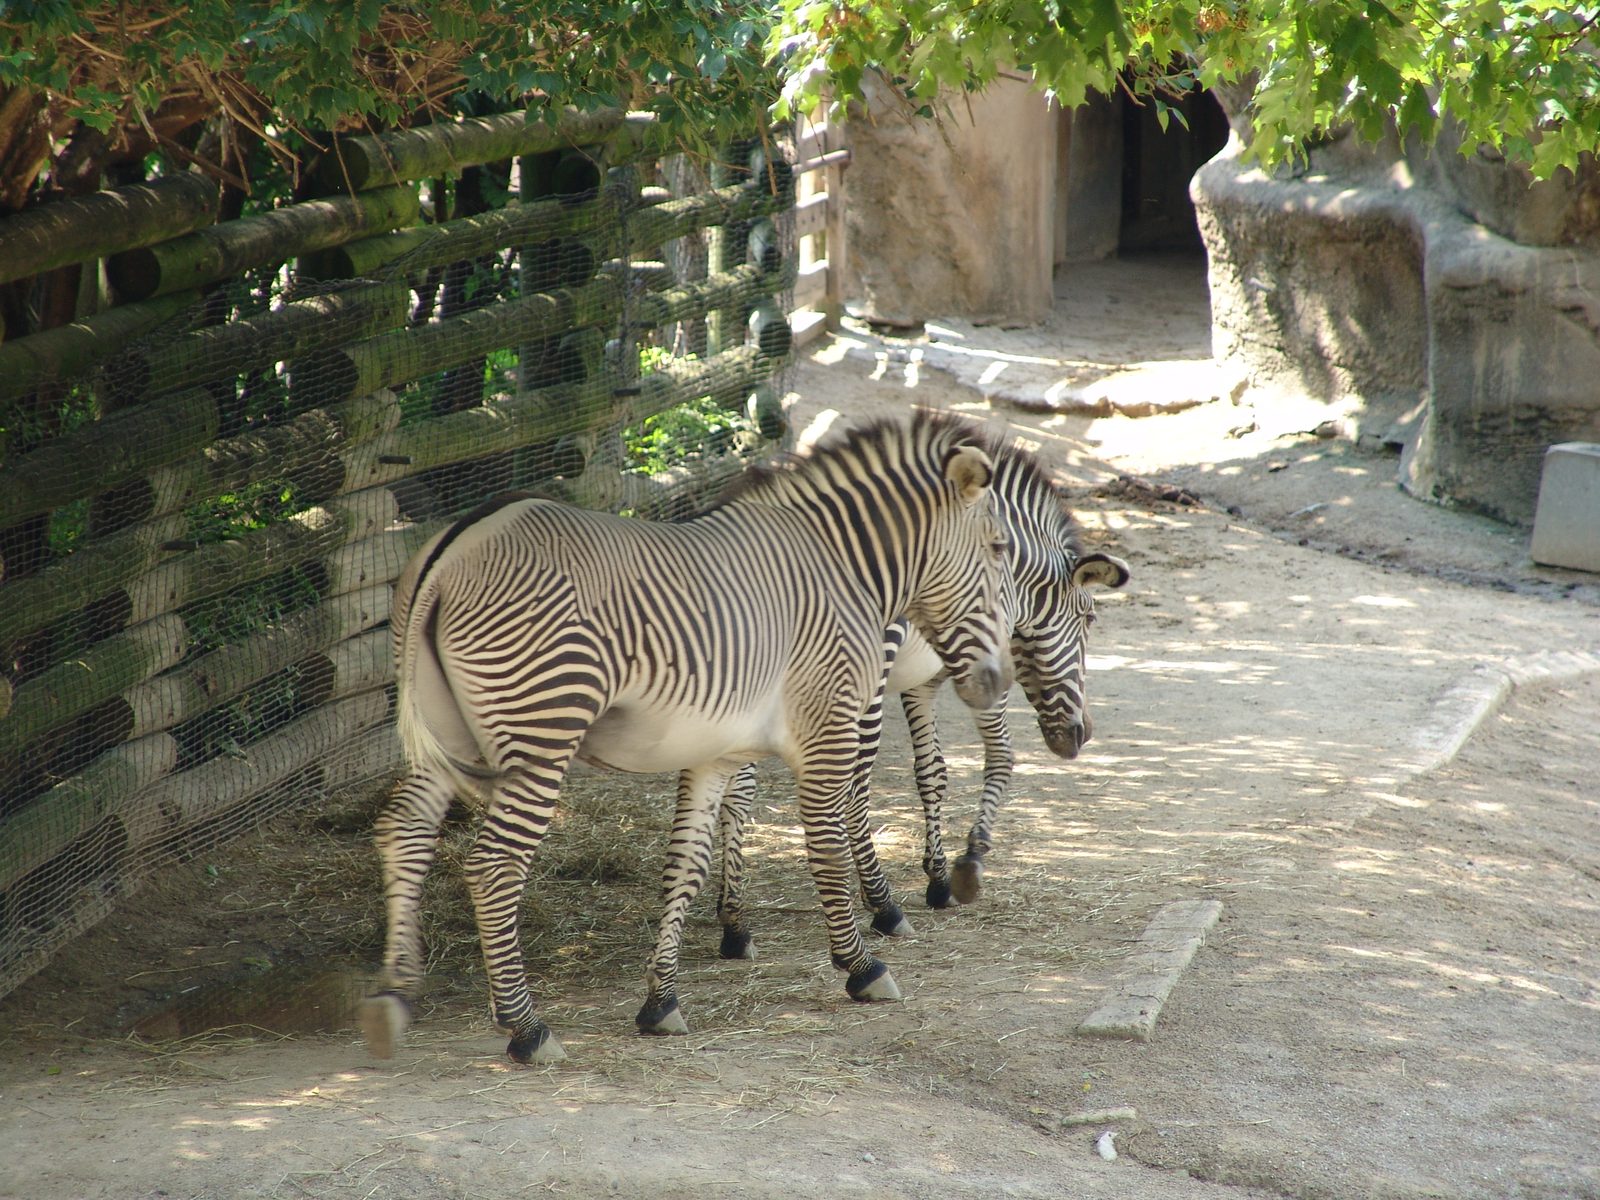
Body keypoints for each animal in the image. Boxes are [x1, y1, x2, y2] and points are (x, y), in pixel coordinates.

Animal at [360, 412, 1013, 1064]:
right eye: (999, 549)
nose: (997, 682)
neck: (845, 569)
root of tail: (455, 544)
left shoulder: (716, 754)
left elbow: (685, 865)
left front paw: (661, 1001)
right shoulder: (826, 727)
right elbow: (827, 843)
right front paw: (861, 966)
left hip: (448, 739)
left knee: (403, 830)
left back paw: (396, 996)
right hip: (543, 731)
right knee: (494, 865)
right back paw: (526, 1027)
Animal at [712, 442, 1130, 959]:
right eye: (1089, 618)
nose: (1081, 735)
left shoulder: (923, 684)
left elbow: (932, 773)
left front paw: (937, 877)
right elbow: (1001, 757)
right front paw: (968, 862)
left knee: (739, 792)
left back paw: (734, 921)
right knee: (852, 785)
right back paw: (882, 905)